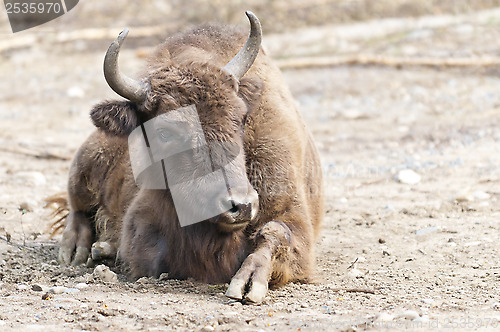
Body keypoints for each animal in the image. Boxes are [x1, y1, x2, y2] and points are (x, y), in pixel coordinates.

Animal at [58, 11, 324, 304]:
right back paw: (76, 250)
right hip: (84, 166)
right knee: (78, 209)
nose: (240, 206)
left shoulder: (292, 214)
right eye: (164, 132)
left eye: (241, 118)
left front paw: (247, 283)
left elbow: (275, 234)